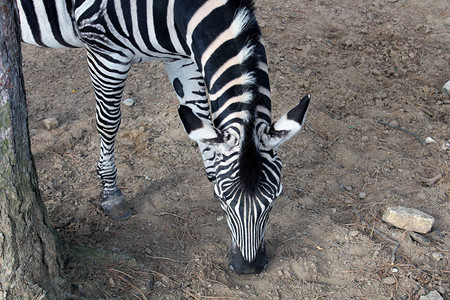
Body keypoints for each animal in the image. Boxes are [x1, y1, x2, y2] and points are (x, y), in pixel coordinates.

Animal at [19, 0, 312, 274]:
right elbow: (109, 121)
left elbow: (199, 115)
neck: (174, 11)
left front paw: (211, 172)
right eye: (223, 200)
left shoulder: (182, 57)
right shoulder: (105, 49)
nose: (248, 268)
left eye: (275, 198)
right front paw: (111, 192)